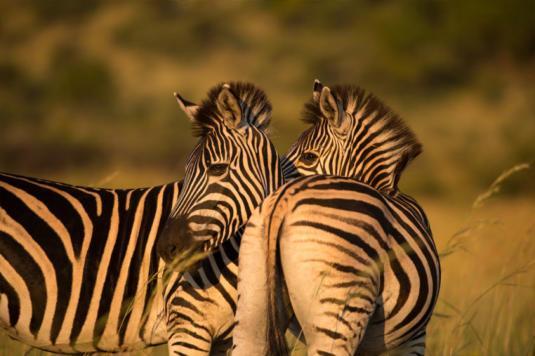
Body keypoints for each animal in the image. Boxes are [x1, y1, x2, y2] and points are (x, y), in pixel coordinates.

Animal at [233, 81, 440, 356]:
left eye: (308, 156)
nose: (268, 185)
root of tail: (282, 200)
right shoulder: (414, 338)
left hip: (251, 305)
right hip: (338, 308)